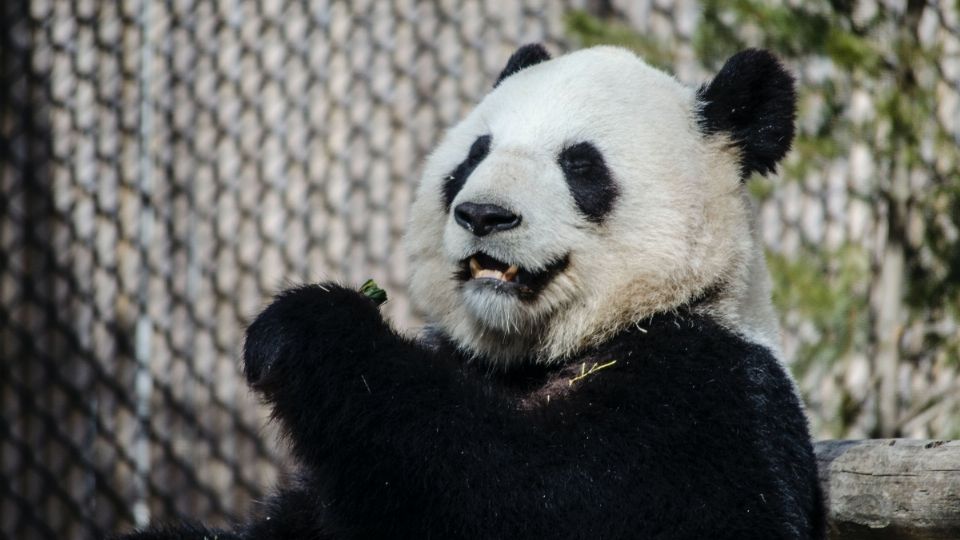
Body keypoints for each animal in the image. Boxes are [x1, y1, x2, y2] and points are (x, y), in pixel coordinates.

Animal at [118, 44, 824, 536]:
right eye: (472, 155)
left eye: (580, 164)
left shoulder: (707, 396)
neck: (542, 353)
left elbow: (526, 495)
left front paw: (308, 330)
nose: (484, 215)